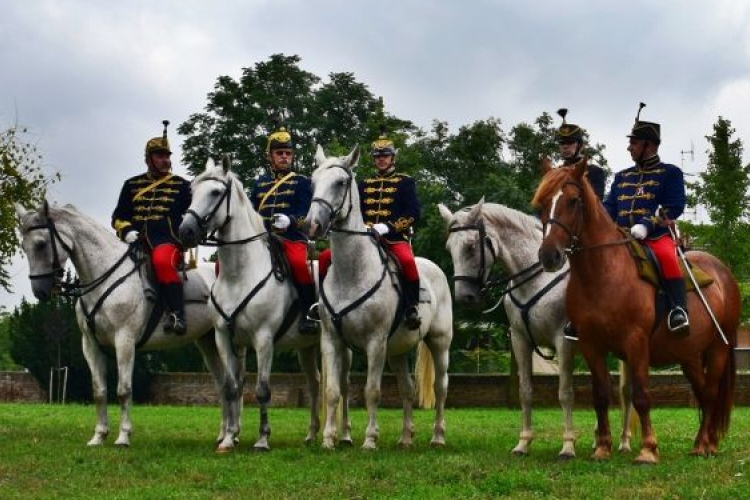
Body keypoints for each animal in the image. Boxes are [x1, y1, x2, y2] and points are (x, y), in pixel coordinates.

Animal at [16, 201, 225, 448]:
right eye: (23, 245)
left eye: (41, 243)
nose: (40, 292)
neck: (104, 276)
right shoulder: (90, 345)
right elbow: (99, 390)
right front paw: (99, 436)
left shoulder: (124, 341)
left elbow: (124, 390)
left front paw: (123, 436)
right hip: (208, 342)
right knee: (224, 384)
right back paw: (224, 435)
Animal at [179, 157, 332, 454]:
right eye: (192, 191)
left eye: (215, 192)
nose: (186, 231)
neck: (239, 274)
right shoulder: (223, 337)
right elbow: (231, 386)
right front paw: (228, 438)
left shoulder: (263, 338)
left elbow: (262, 389)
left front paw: (262, 439)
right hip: (306, 347)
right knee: (314, 383)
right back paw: (311, 435)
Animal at [306, 146, 456, 450]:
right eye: (313, 182)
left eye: (340, 182)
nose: (313, 225)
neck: (352, 272)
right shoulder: (331, 339)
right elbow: (332, 391)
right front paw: (328, 440)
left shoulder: (375, 342)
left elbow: (372, 391)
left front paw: (369, 440)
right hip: (397, 350)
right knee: (407, 390)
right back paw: (406, 437)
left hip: (439, 342)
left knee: (440, 387)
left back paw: (437, 436)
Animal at [440, 201, 636, 458]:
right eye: (448, 248)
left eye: (471, 246)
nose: (465, 297)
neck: (538, 279)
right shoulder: (520, 341)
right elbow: (525, 391)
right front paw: (523, 443)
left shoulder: (563, 341)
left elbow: (565, 393)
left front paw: (567, 446)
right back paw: (600, 440)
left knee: (625, 390)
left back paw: (624, 441)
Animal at [536, 158, 740, 462]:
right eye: (542, 203)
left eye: (573, 200)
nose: (549, 255)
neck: (603, 274)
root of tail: (723, 271)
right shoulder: (590, 344)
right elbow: (600, 395)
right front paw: (602, 447)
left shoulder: (636, 342)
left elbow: (642, 396)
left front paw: (648, 449)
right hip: (689, 355)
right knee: (703, 392)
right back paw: (703, 444)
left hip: (718, 348)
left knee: (712, 392)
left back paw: (705, 443)